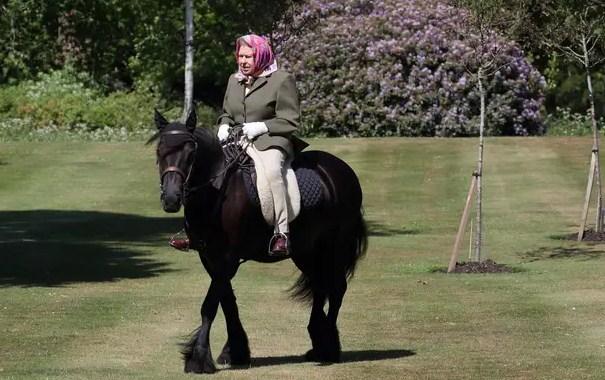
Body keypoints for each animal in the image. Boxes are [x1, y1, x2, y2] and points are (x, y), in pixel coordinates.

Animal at [151, 110, 368, 374]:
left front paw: (199, 358)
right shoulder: (209, 256)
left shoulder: (228, 257)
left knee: (336, 289)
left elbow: (210, 305)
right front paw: (235, 351)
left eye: (191, 152)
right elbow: (227, 301)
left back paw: (328, 348)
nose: (171, 199)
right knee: (320, 286)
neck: (217, 191)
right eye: (159, 151)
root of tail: (342, 170)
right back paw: (318, 343)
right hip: (307, 250)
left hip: (335, 247)